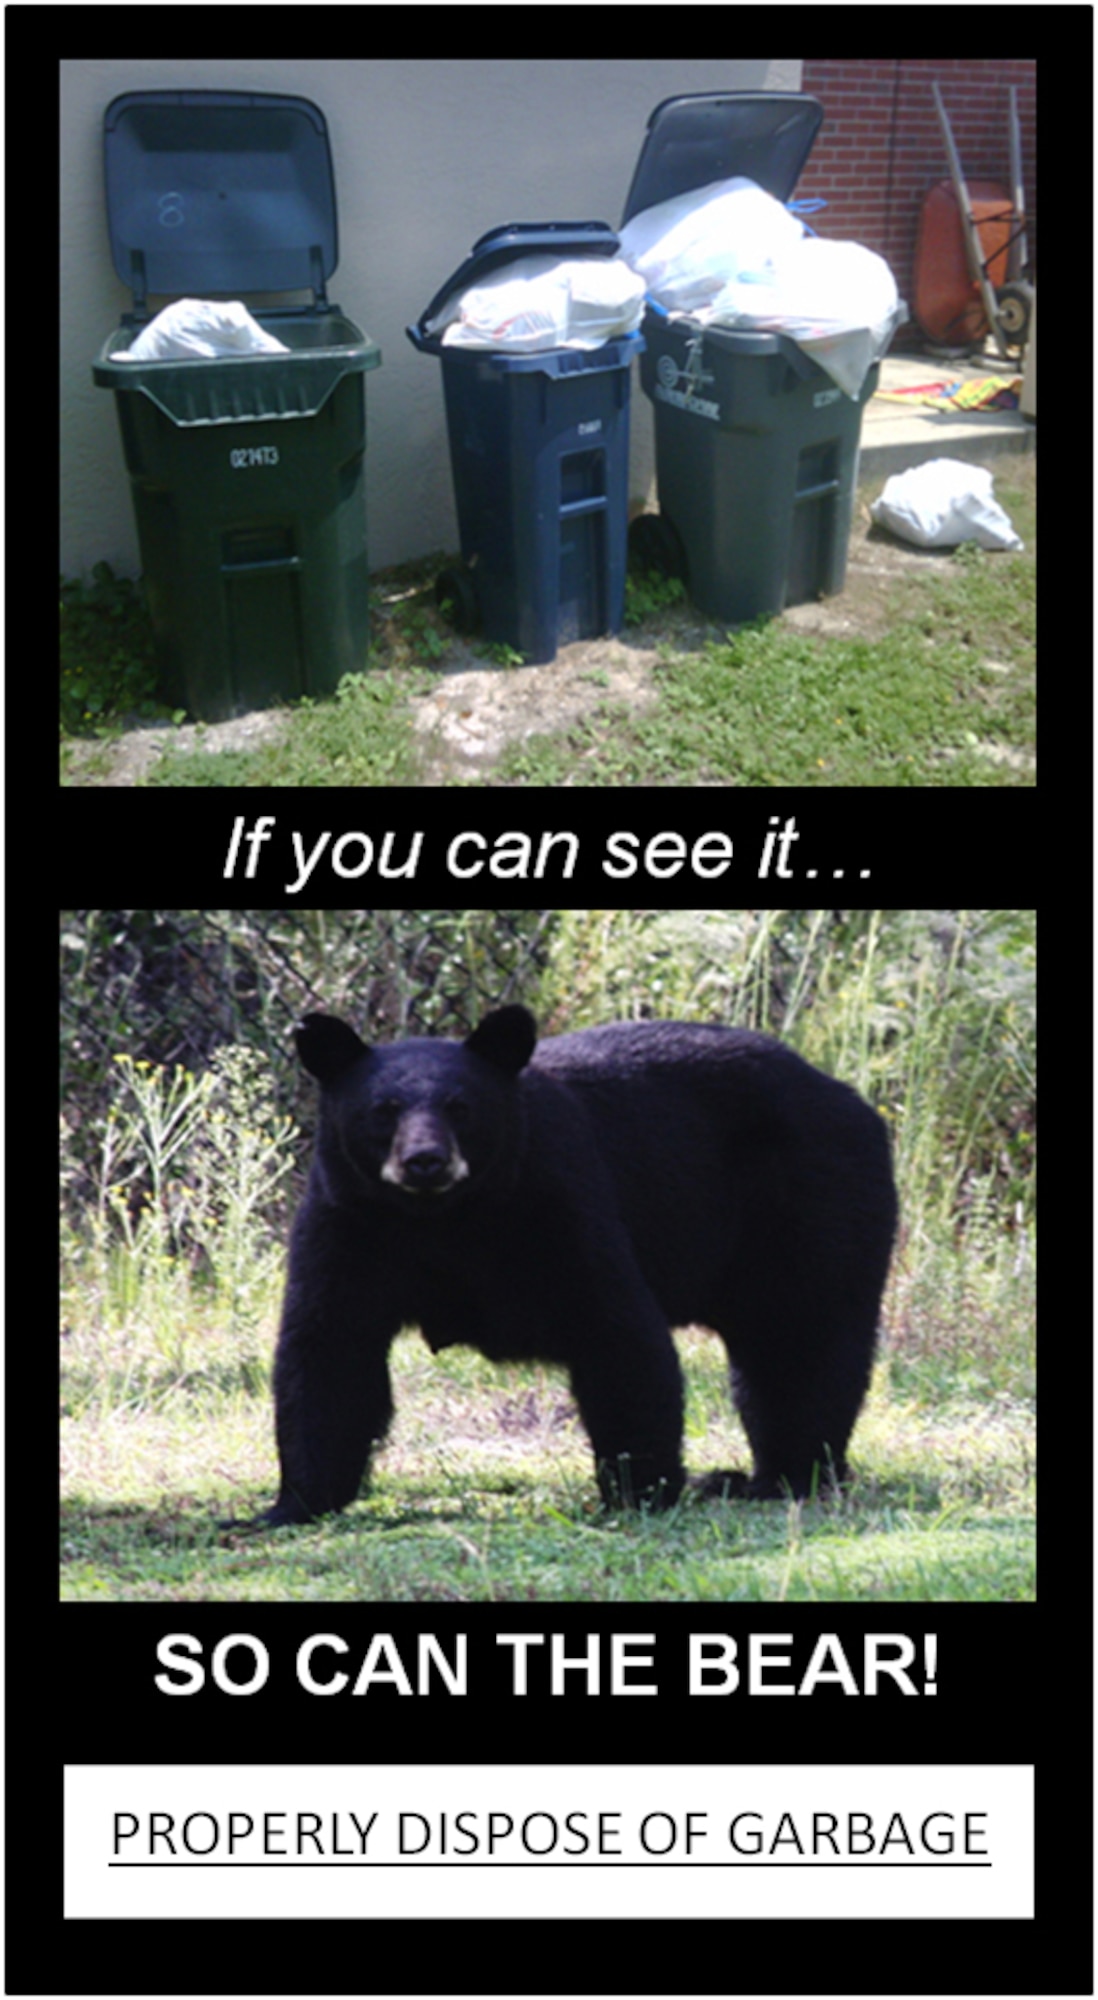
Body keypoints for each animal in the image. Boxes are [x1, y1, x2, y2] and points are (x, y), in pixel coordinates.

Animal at [253, 1008, 896, 1520]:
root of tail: (849, 1096)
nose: (426, 1161)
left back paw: (781, 1476)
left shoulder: (556, 1200)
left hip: (812, 1197)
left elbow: (617, 1333)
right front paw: (291, 1505)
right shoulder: (349, 1222)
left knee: (799, 1338)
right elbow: (331, 1352)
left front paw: (640, 1491)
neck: (444, 1218)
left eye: (461, 1107)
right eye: (382, 1110)